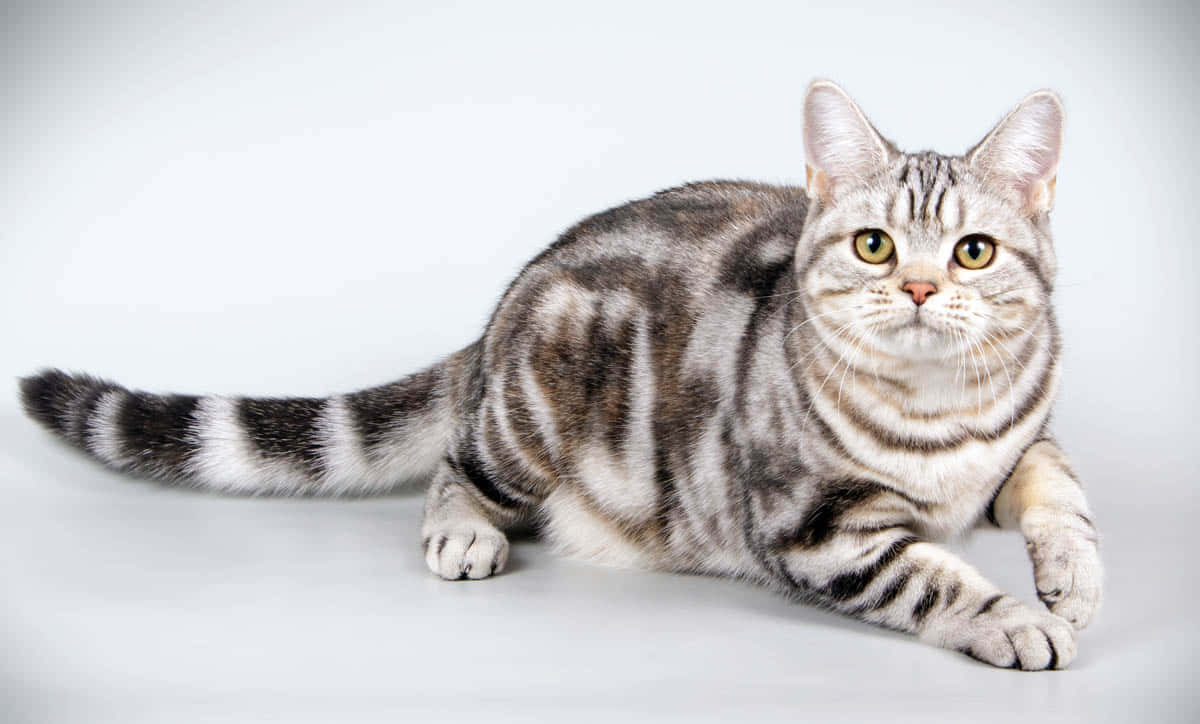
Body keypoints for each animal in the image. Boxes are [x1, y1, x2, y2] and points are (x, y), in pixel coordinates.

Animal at [21, 82, 1104, 672]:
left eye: (972, 252)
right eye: (875, 244)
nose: (919, 286)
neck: (940, 413)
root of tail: (502, 308)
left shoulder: (1026, 438)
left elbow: (1062, 488)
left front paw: (1074, 578)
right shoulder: (820, 526)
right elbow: (936, 577)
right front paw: (1016, 618)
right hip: (526, 414)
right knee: (454, 464)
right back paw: (462, 531)